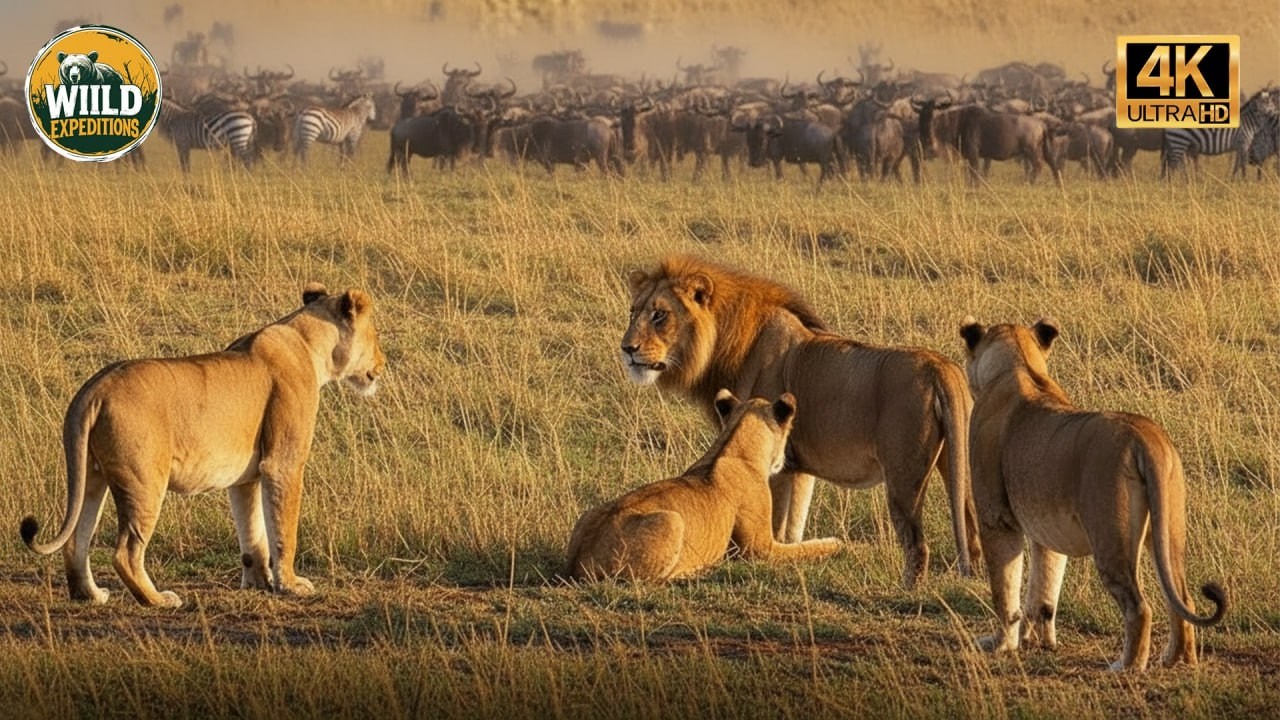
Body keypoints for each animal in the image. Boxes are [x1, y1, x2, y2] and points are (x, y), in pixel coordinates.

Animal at [19, 283, 385, 608]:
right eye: (377, 335)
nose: (383, 365)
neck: (310, 343)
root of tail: (95, 388)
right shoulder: (282, 462)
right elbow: (283, 528)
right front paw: (291, 585)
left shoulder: (246, 477)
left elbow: (252, 533)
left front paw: (259, 583)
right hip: (144, 481)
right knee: (126, 553)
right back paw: (158, 600)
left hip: (92, 476)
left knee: (76, 540)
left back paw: (91, 595)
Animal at [564, 390, 842, 581]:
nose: (785, 460)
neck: (735, 447)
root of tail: (578, 561)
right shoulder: (760, 549)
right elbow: (806, 549)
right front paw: (837, 543)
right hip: (673, 520)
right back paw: (700, 569)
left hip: (588, 513)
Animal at [621, 255, 979, 588]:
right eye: (633, 312)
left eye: (659, 315)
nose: (627, 349)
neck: (730, 345)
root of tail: (940, 367)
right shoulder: (800, 467)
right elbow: (794, 526)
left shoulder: (778, 461)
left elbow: (777, 527)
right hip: (958, 463)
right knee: (972, 529)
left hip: (904, 476)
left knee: (917, 545)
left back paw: (907, 591)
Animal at [959, 316, 1227, 670]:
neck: (1019, 362)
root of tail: (1145, 438)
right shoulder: (1047, 530)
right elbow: (1043, 590)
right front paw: (1039, 641)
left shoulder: (997, 519)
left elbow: (1006, 592)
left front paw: (1001, 644)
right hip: (1167, 532)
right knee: (1181, 598)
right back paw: (1177, 660)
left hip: (1110, 536)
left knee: (1139, 607)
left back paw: (1126, 667)